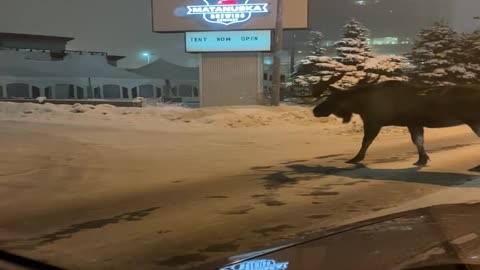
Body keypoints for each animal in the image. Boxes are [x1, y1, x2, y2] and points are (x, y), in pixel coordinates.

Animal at [312, 80, 480, 165]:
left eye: (331, 98)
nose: (315, 110)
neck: (360, 105)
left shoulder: (374, 122)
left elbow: (365, 142)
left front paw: (355, 158)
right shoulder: (414, 123)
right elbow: (419, 141)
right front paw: (422, 159)